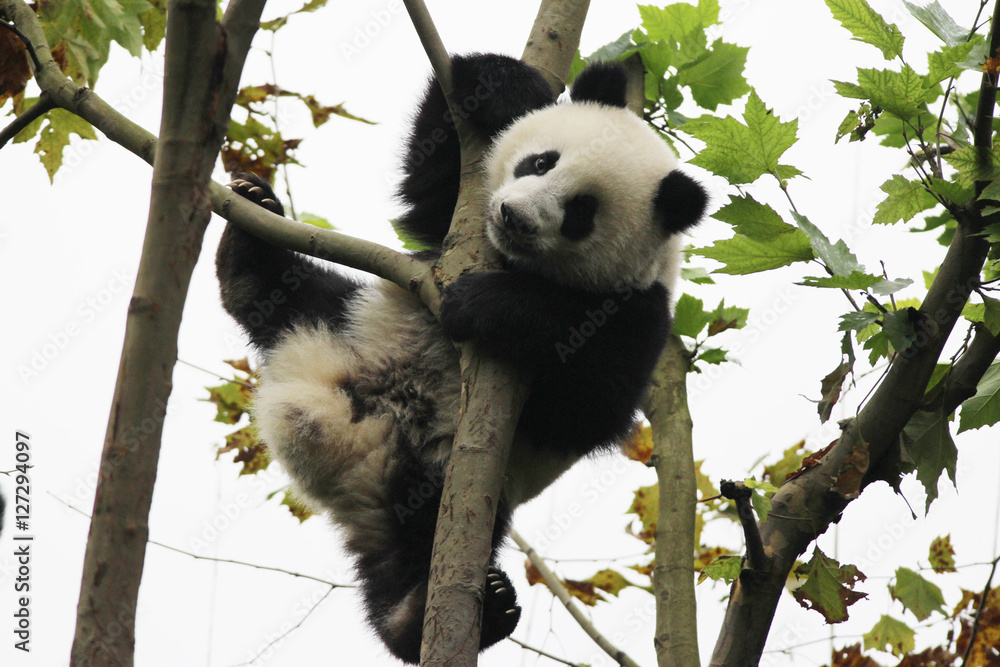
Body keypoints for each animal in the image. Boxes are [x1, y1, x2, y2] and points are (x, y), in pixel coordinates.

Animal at [215, 53, 706, 663]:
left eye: (580, 212)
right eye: (541, 162)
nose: (514, 215)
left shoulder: (640, 317)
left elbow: (589, 397)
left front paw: (488, 305)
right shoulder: (457, 228)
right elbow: (432, 183)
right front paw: (504, 89)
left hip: (443, 479)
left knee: (415, 551)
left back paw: (439, 612)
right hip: (347, 320)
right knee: (288, 293)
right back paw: (247, 236)